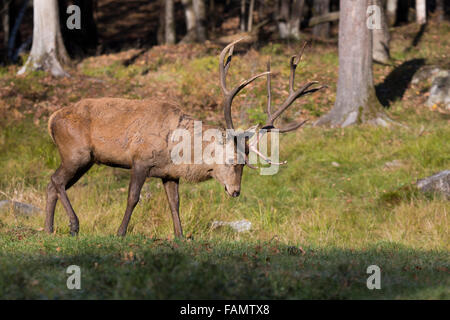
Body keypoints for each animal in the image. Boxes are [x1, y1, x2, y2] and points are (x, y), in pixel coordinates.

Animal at [45, 39, 326, 238]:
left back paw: (48, 228)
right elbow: (133, 197)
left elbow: (175, 203)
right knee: (57, 180)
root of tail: (51, 119)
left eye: (245, 165)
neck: (178, 151)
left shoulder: (169, 173)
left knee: (53, 184)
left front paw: (180, 236)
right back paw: (73, 225)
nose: (235, 191)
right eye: (231, 160)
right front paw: (120, 232)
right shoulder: (140, 160)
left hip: (85, 159)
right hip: (77, 152)